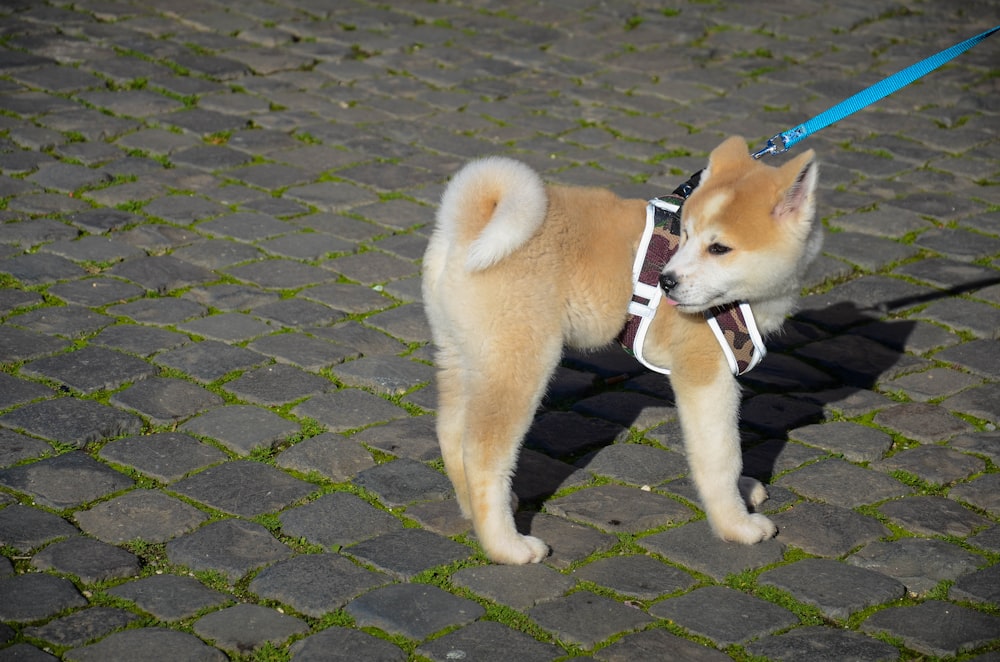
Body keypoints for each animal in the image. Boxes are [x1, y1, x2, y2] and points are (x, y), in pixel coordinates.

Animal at [422, 136, 820, 564]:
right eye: (687, 235)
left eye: (718, 248)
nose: (666, 281)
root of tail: (467, 227)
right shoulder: (705, 376)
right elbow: (720, 457)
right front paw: (736, 524)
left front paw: (743, 491)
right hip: (519, 365)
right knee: (482, 457)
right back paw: (506, 545)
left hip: (461, 356)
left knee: (451, 434)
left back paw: (473, 510)